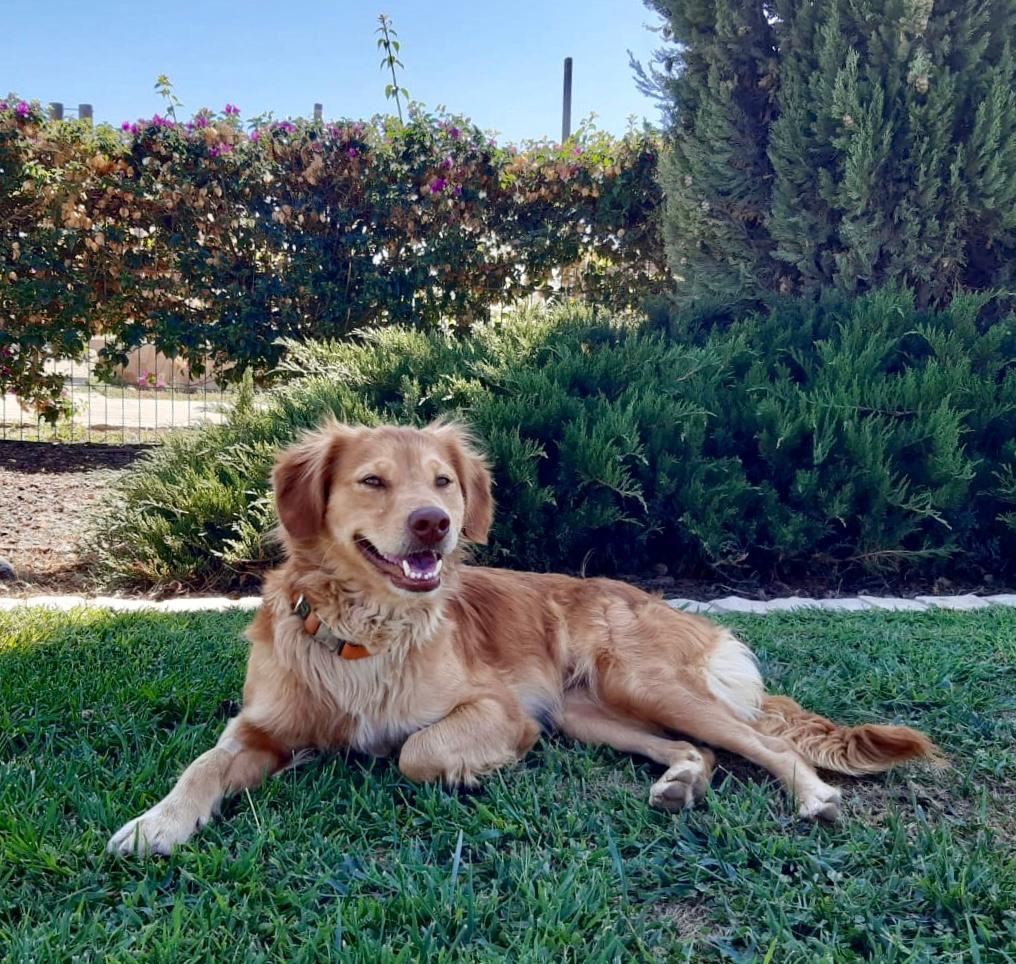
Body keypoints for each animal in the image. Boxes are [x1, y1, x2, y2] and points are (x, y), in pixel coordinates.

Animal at [108, 420, 941, 855]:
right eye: (373, 481)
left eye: (442, 482)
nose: (434, 524)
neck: (365, 630)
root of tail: (670, 605)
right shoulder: (257, 729)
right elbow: (199, 770)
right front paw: (154, 823)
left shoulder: (499, 709)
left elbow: (415, 751)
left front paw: (472, 770)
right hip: (590, 712)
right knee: (696, 749)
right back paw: (680, 783)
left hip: (639, 682)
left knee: (763, 743)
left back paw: (815, 797)